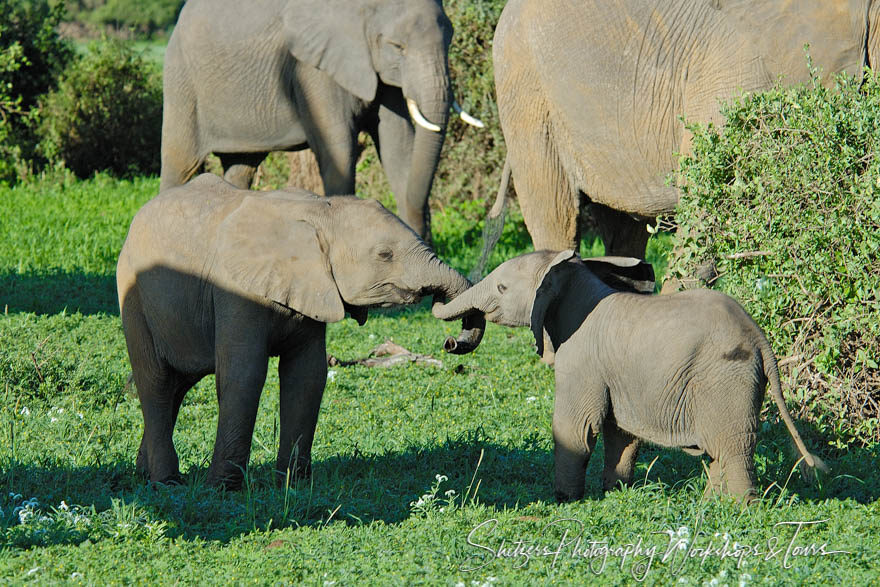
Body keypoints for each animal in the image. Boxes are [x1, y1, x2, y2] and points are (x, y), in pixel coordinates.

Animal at [115, 175, 488, 492]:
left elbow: (307, 375)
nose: (451, 342)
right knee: (156, 381)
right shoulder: (235, 290)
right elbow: (245, 374)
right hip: (132, 293)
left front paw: (293, 485)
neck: (321, 213)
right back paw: (166, 483)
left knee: (177, 385)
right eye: (385, 255)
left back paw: (142, 473)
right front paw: (222, 489)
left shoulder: (314, 288)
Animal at [162, 0, 484, 243]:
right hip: (182, 81)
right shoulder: (311, 69)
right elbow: (339, 148)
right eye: (397, 46)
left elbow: (399, 146)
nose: (422, 236)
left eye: (451, 38)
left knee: (241, 168)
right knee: (180, 164)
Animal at [436, 250, 828, 504]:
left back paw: (739, 509)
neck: (572, 277)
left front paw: (564, 499)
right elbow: (620, 432)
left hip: (725, 376)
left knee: (731, 444)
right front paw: (614, 492)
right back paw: (710, 505)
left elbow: (575, 427)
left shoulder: (580, 359)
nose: (449, 341)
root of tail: (760, 339)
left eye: (501, 289)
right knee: (721, 448)